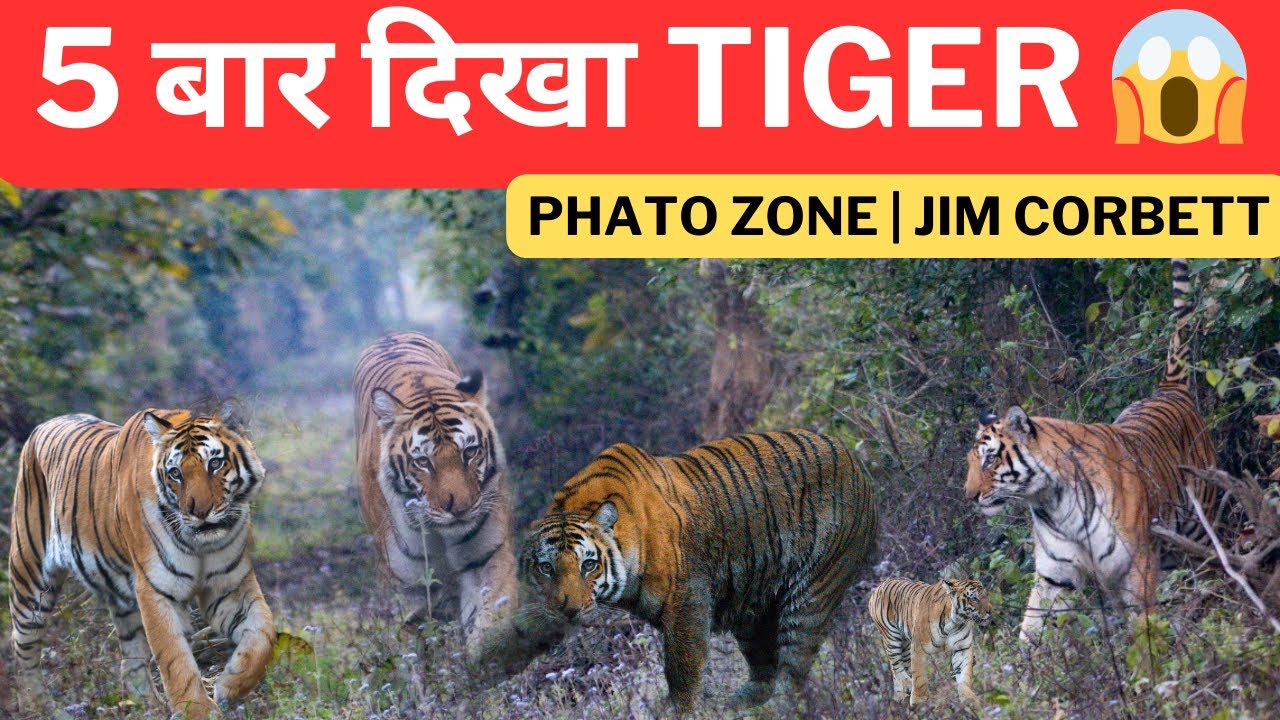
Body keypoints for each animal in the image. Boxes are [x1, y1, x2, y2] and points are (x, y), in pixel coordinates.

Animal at [8, 408, 275, 718]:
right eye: (175, 474)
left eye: (215, 463)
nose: (199, 512)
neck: (201, 544)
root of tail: (42, 425)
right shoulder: (156, 591)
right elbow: (175, 658)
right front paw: (198, 710)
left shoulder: (229, 588)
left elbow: (263, 635)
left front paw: (229, 685)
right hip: (30, 578)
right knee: (23, 647)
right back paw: (37, 706)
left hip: (121, 599)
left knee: (131, 658)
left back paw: (148, 705)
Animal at [354, 331, 518, 666]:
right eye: (422, 462)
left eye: (470, 452)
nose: (459, 508)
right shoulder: (407, 586)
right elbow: (412, 646)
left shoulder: (488, 554)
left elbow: (490, 617)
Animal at [523, 430, 879, 712]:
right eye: (546, 568)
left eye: (588, 565)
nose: (568, 609)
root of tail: (852, 456)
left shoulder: (686, 598)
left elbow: (683, 666)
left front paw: (680, 709)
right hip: (753, 608)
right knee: (764, 668)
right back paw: (739, 705)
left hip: (814, 590)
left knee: (794, 666)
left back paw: (777, 707)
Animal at [867, 577, 993, 706]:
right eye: (974, 599)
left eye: (986, 595)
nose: (990, 611)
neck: (955, 622)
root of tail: (882, 584)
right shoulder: (918, 647)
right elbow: (919, 676)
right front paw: (919, 700)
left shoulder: (963, 648)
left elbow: (964, 674)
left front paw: (969, 699)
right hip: (892, 637)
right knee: (895, 666)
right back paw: (908, 685)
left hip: (905, 646)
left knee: (901, 667)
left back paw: (900, 696)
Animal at [965, 258, 1217, 641]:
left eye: (990, 459)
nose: (968, 496)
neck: (1052, 501)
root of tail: (1169, 390)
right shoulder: (1054, 577)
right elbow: (1030, 632)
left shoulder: (1138, 564)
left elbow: (1144, 632)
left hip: (1200, 527)